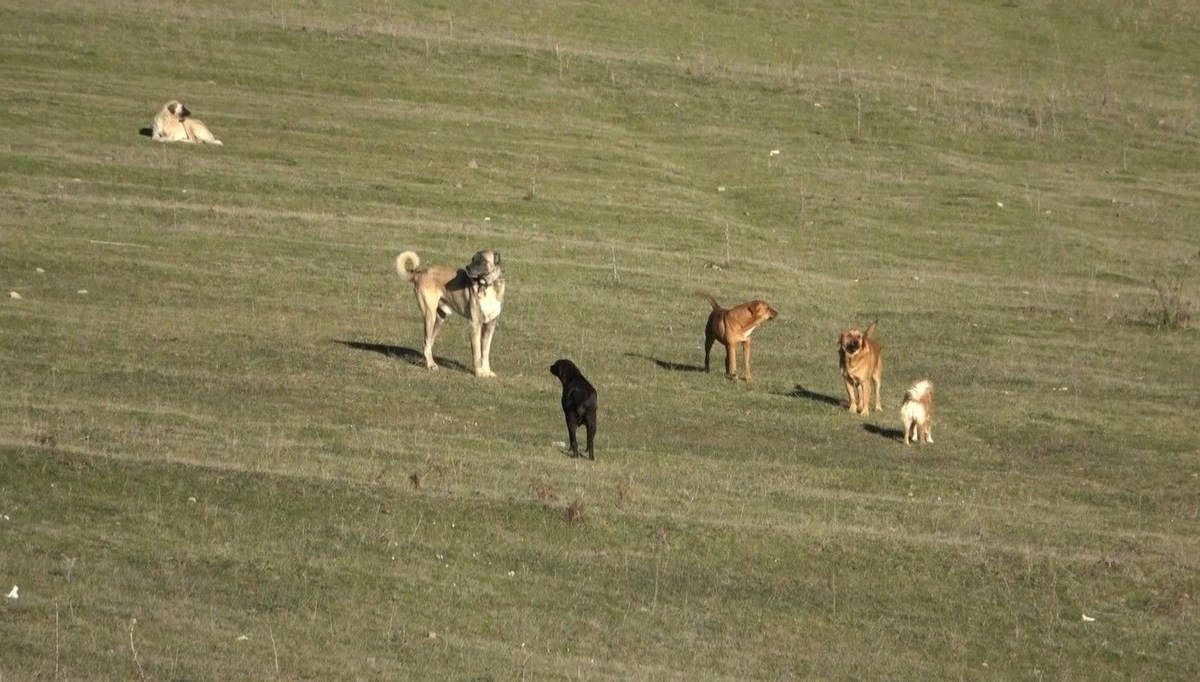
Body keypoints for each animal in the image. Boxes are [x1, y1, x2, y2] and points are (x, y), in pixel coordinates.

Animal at [396, 250, 504, 379]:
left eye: (482, 260)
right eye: (473, 259)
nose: (467, 267)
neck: (488, 285)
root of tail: (419, 273)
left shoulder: (490, 326)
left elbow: (485, 352)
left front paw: (487, 371)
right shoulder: (475, 324)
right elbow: (477, 353)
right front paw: (479, 373)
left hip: (439, 319)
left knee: (427, 343)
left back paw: (427, 362)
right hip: (430, 315)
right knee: (426, 343)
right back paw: (431, 365)